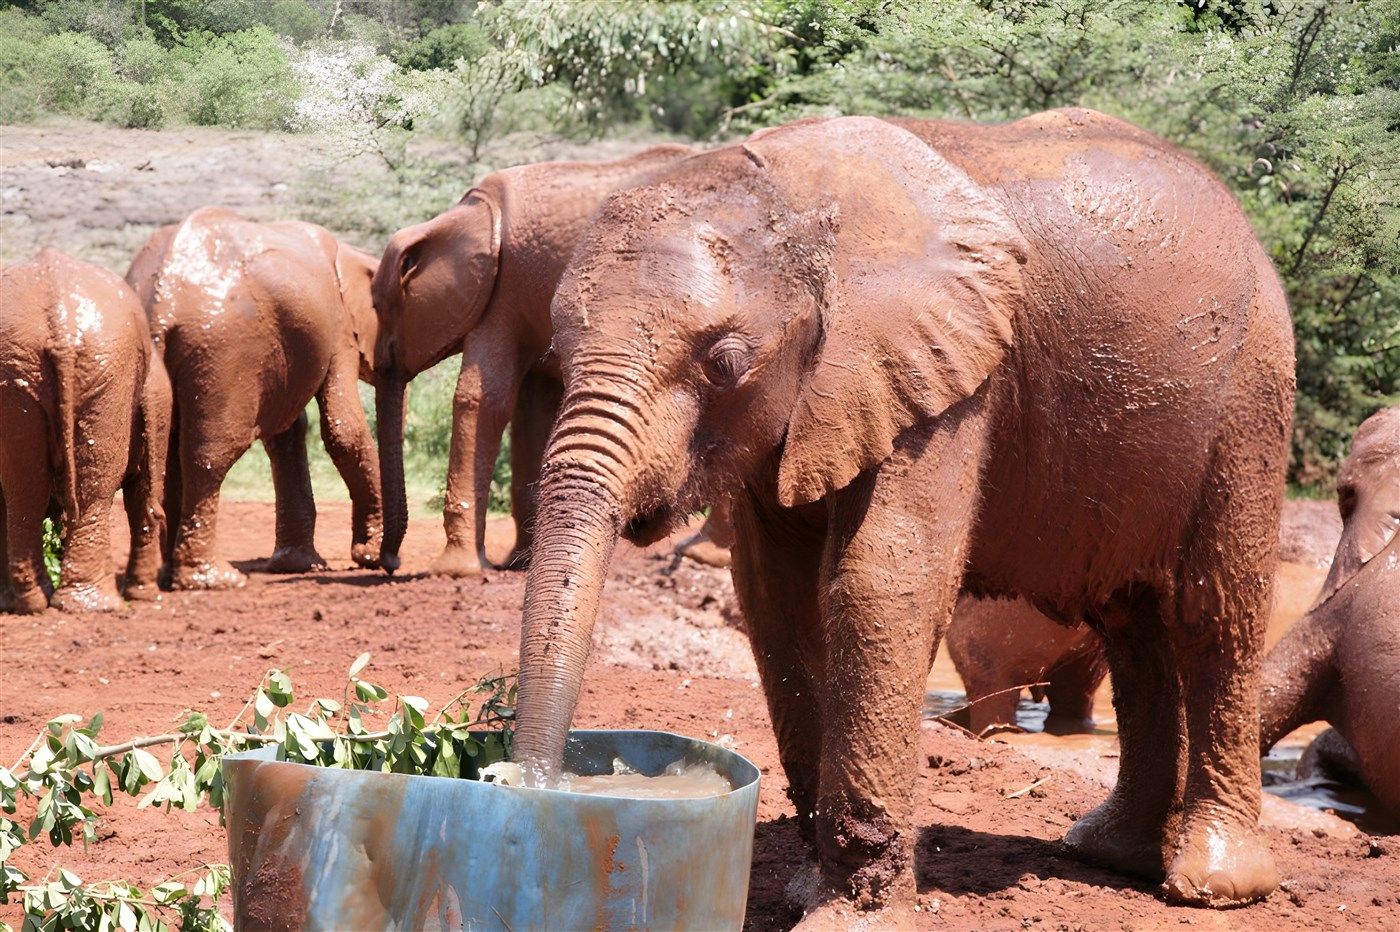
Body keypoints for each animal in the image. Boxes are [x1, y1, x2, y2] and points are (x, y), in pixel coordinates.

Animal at [1, 248, 169, 612]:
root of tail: (61, 324)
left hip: (82, 367)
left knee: (28, 485)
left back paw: (40, 602)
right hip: (85, 368)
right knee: (79, 488)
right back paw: (90, 603)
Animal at [125, 206, 382, 590]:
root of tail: (162, 302)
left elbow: (287, 432)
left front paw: (297, 566)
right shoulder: (338, 328)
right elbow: (343, 427)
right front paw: (369, 556)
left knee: (171, 450)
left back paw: (171, 575)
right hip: (223, 350)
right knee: (210, 454)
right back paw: (213, 580)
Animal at [372, 144, 694, 576]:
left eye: (379, 307)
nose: (387, 562)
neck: (460, 216)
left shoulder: (502, 291)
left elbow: (481, 399)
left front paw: (457, 571)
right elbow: (530, 415)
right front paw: (517, 564)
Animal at [509, 110, 1295, 919]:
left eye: (724, 363)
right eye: (557, 353)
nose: (532, 792)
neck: (792, 195)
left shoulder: (950, 375)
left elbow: (880, 583)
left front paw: (846, 916)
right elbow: (775, 600)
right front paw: (807, 890)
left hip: (1251, 389)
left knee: (1212, 615)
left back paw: (1213, 887)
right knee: (1132, 625)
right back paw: (1107, 853)